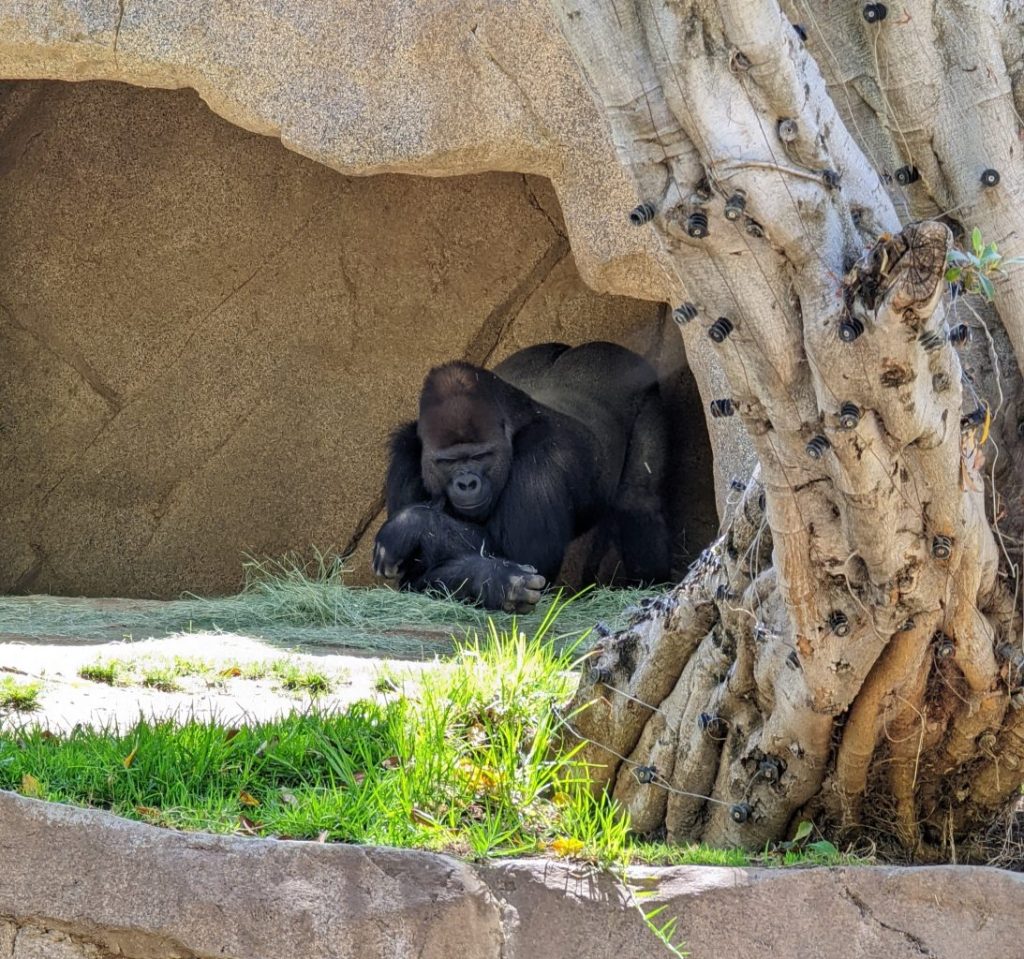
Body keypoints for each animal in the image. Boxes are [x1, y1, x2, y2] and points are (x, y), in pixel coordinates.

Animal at [370, 339, 671, 609]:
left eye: (481, 457)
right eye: (447, 462)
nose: (466, 483)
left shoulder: (542, 456)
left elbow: (532, 559)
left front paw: (411, 523)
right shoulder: (406, 453)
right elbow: (415, 578)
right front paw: (496, 580)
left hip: (647, 398)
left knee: (637, 499)